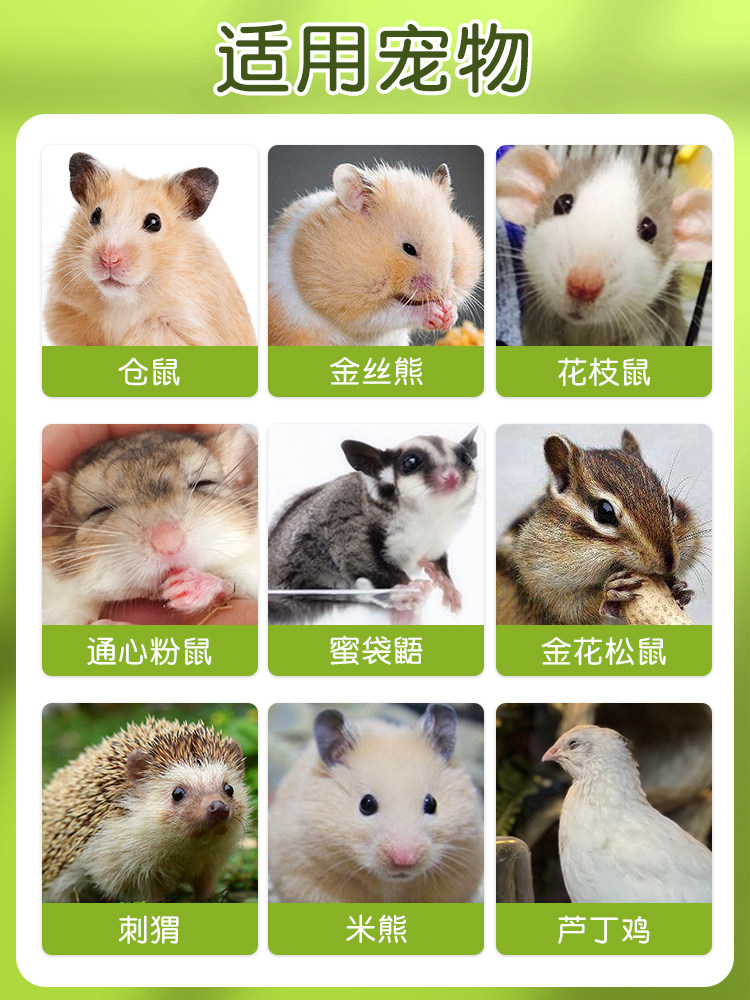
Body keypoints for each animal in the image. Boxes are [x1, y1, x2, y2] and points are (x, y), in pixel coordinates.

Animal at [268, 163, 483, 346]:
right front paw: (435, 313)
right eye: (409, 248)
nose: (442, 293)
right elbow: (391, 314)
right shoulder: (346, 303)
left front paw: (449, 314)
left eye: (452, 245)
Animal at [268, 430, 478, 622]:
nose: (451, 476)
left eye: (466, 459)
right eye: (411, 462)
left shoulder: (436, 541)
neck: (426, 518)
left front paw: (446, 584)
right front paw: (409, 587)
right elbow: (356, 554)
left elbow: (437, 560)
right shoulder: (348, 523)